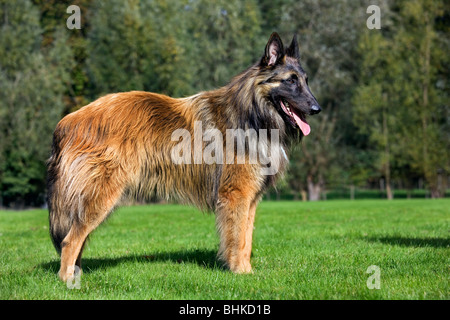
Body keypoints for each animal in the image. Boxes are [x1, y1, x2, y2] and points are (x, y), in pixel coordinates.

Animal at [48, 32, 320, 282]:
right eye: (291, 81)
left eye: (305, 81)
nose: (317, 108)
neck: (252, 114)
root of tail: (67, 121)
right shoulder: (236, 195)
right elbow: (237, 238)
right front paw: (241, 273)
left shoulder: (250, 199)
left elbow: (246, 239)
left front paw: (246, 271)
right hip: (102, 195)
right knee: (70, 240)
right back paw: (67, 280)